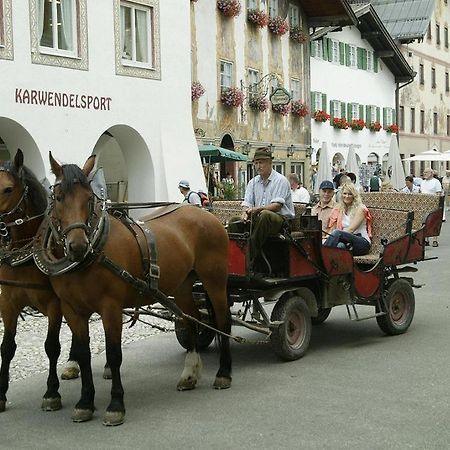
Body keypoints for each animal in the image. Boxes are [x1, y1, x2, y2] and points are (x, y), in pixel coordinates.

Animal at [0, 150, 72, 412]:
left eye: (8, 189)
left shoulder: (55, 305)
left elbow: (51, 346)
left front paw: (51, 393)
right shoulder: (8, 303)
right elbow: (7, 348)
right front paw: (1, 395)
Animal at [41, 154, 232, 426]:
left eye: (89, 198)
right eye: (58, 197)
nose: (77, 246)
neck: (93, 253)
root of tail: (205, 214)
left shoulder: (110, 307)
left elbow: (114, 354)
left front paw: (115, 405)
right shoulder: (72, 309)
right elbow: (83, 353)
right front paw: (85, 402)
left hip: (214, 279)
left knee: (223, 321)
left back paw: (224, 373)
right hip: (183, 286)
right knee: (191, 320)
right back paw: (190, 374)